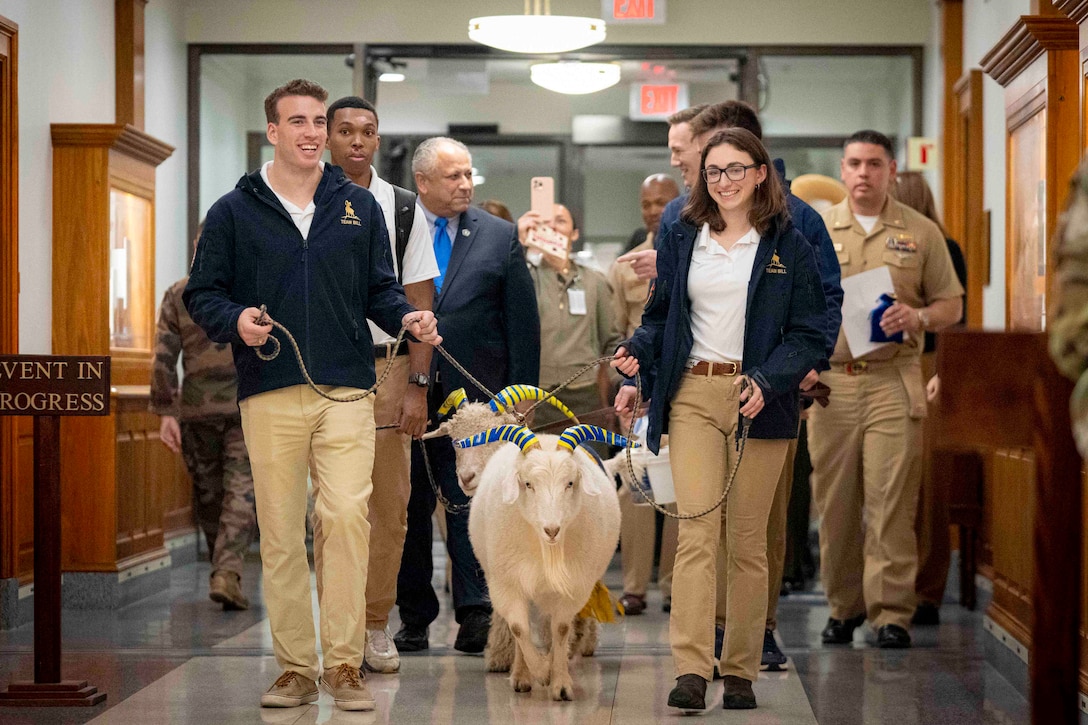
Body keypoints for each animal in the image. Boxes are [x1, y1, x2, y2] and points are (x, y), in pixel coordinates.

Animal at [456, 420, 622, 696]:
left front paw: (560, 682)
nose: (551, 530)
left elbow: (561, 629)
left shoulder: (573, 587)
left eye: (570, 483)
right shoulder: (507, 584)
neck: (547, 550)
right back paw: (522, 676)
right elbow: (519, 628)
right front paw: (540, 672)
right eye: (528, 484)